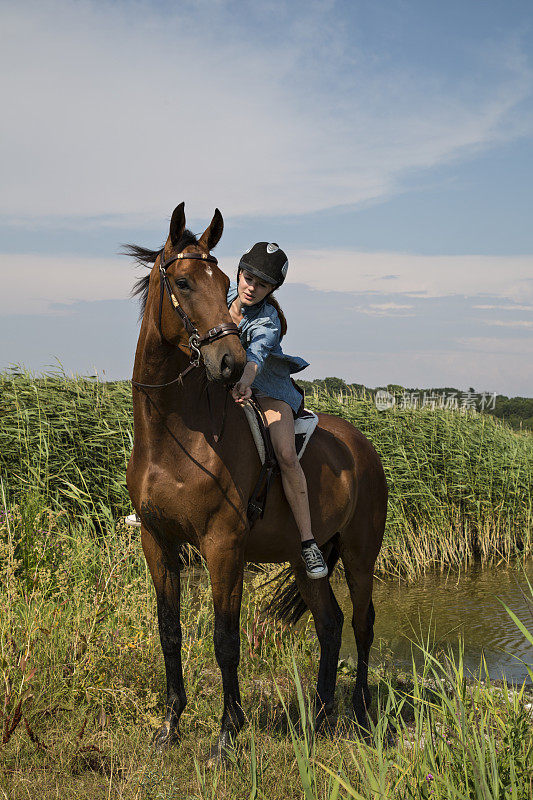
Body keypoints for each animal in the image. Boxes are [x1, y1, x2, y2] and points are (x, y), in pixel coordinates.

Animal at [127, 203, 388, 760]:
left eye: (227, 282)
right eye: (184, 281)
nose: (231, 363)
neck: (174, 436)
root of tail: (363, 448)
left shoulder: (223, 546)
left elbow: (225, 638)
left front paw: (227, 734)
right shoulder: (157, 541)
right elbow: (169, 631)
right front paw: (170, 726)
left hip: (360, 554)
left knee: (362, 623)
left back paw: (358, 714)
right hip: (305, 558)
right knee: (330, 624)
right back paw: (320, 715)